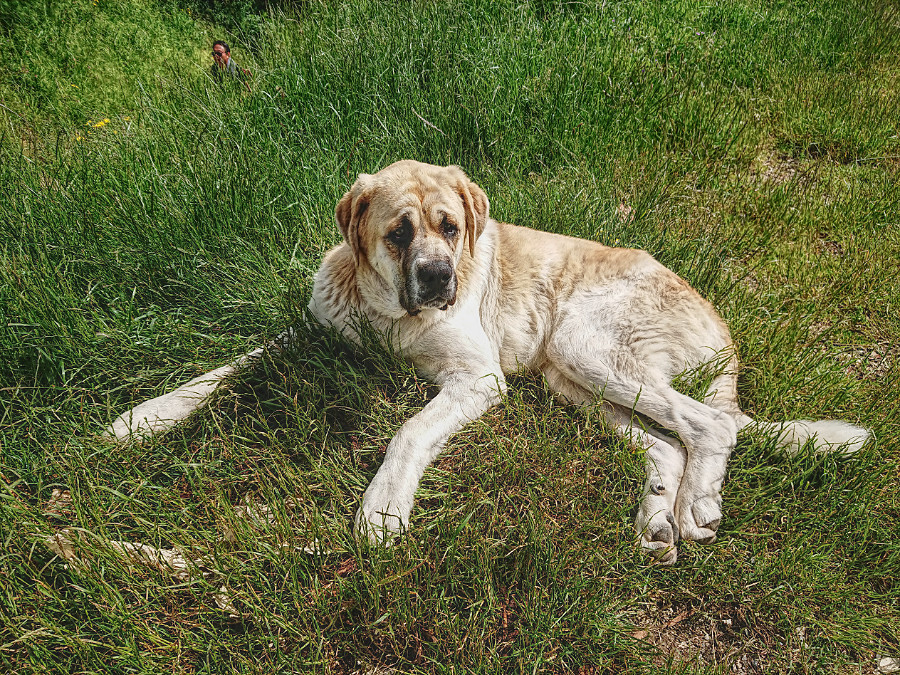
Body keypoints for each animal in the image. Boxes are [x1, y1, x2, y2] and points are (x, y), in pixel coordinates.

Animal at [107, 160, 870, 564]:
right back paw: (659, 515)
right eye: (398, 233)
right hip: (573, 378)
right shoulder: (312, 331)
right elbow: (226, 369)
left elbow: (409, 429)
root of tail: (722, 325)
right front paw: (142, 419)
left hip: (585, 344)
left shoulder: (474, 378)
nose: (440, 277)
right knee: (669, 442)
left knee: (712, 425)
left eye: (451, 228)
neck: (390, 316)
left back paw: (698, 506)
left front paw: (383, 510)